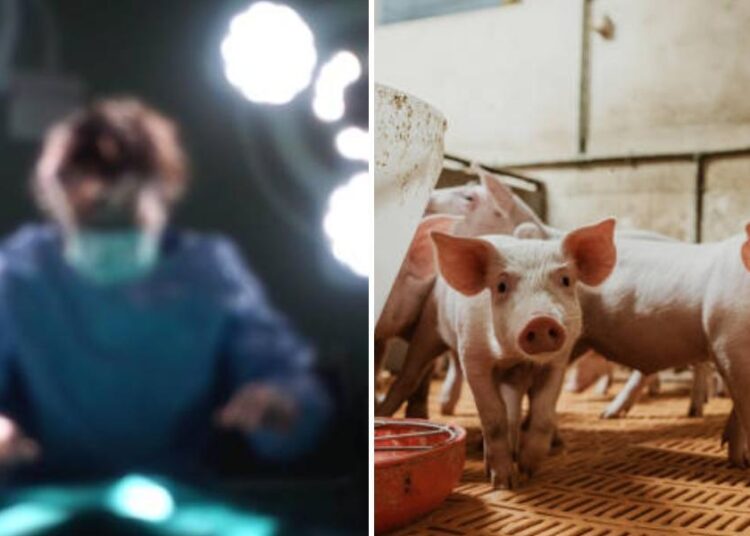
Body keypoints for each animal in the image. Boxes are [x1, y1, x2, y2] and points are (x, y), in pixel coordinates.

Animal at [424, 219, 617, 487]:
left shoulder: (557, 362)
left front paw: (528, 471)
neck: (512, 357)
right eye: (501, 286)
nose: (541, 320)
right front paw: (502, 482)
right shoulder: (473, 356)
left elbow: (543, 412)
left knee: (514, 407)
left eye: (566, 280)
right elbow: (493, 418)